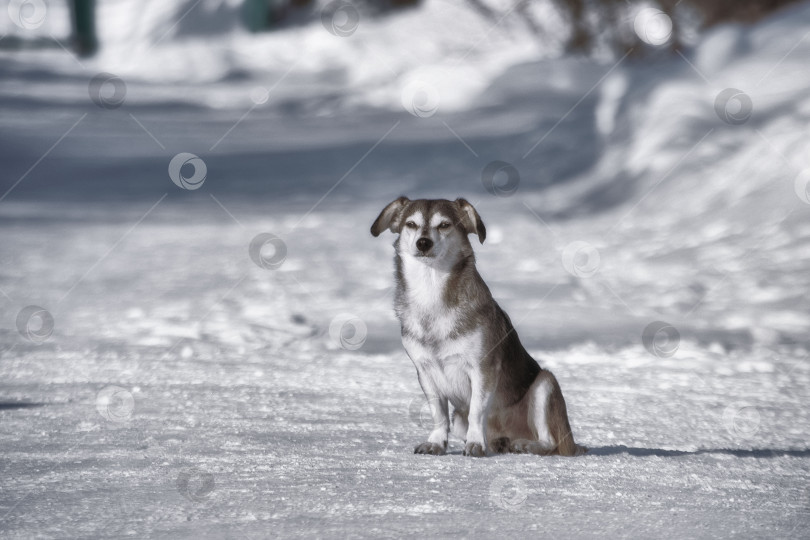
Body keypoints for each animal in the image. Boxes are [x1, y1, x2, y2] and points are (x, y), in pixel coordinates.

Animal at [370, 196, 584, 458]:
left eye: (444, 225)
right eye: (411, 224)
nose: (423, 243)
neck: (431, 295)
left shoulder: (482, 368)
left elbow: (476, 411)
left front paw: (475, 445)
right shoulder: (425, 371)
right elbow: (438, 414)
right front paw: (435, 443)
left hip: (545, 385)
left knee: (550, 442)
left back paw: (524, 445)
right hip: (460, 417)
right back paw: (500, 443)